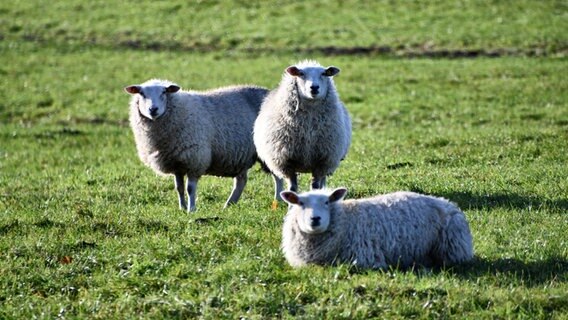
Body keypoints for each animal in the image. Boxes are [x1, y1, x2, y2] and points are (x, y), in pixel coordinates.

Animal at [125, 79, 284, 211]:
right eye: (141, 93)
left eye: (164, 92)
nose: (153, 109)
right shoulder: (176, 163)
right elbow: (179, 188)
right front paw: (182, 208)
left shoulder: (194, 159)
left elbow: (190, 189)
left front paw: (191, 209)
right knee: (241, 181)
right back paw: (228, 205)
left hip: (270, 147)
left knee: (278, 176)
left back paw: (278, 201)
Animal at [253, 60, 350, 195]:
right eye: (301, 74)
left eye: (324, 73)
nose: (314, 87)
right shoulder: (286, 162)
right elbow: (292, 188)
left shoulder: (322, 160)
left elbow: (315, 186)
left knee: (322, 182)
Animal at [280, 188, 474, 270]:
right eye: (300, 203)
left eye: (327, 202)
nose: (315, 219)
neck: (346, 219)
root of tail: (447, 203)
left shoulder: (365, 259)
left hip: (452, 249)